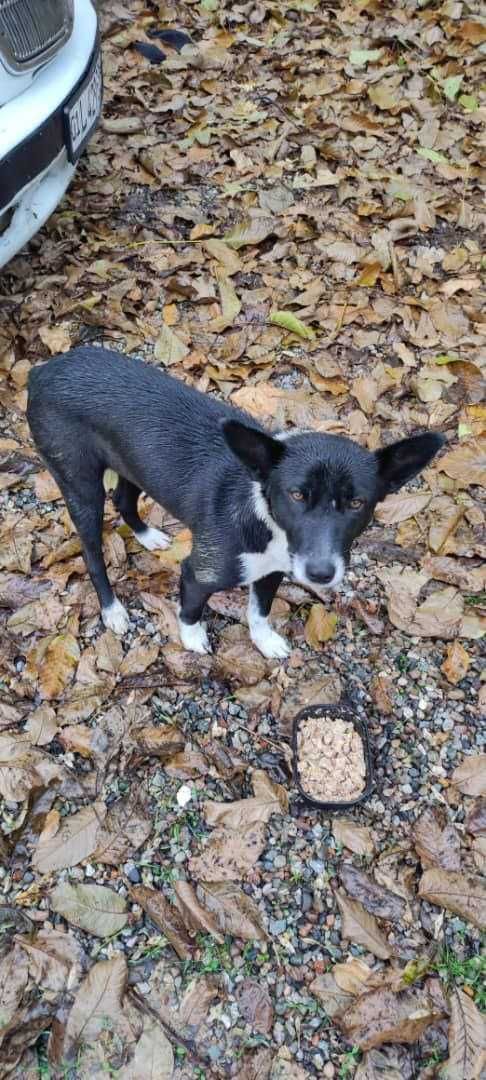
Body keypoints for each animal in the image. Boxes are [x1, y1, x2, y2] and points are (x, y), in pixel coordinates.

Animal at [27, 349, 444, 660]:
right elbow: (191, 609)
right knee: (92, 551)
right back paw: (112, 609)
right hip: (80, 484)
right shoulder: (199, 573)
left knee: (124, 499)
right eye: (296, 495)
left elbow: (259, 612)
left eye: (357, 502)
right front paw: (192, 638)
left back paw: (148, 536)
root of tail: (42, 370)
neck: (265, 518)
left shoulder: (271, 571)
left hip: (130, 464)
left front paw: (265, 641)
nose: (321, 573)